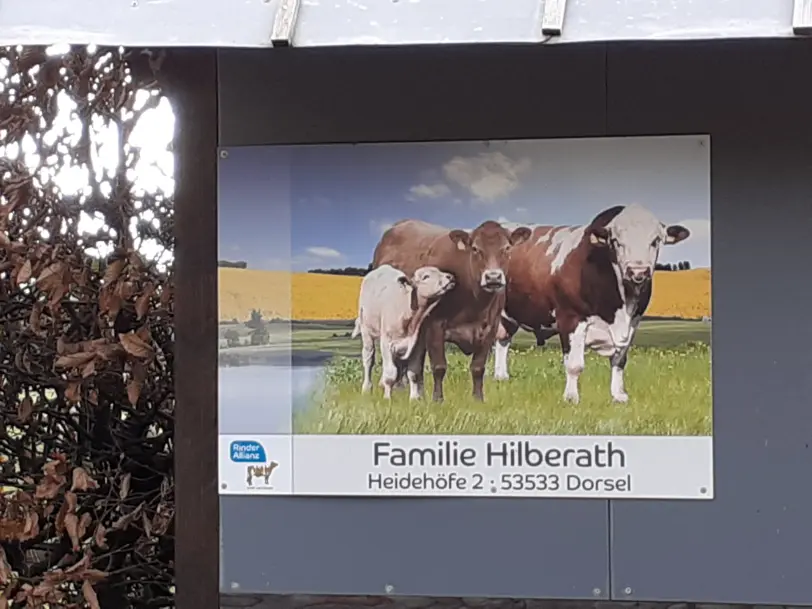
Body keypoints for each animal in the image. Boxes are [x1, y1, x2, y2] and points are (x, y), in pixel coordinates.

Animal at [374, 221, 532, 402]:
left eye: (507, 247)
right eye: (475, 248)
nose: (493, 277)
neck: (474, 302)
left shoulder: (490, 328)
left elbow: (478, 367)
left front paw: (478, 398)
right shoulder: (434, 326)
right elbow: (439, 366)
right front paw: (438, 399)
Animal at [494, 204, 692, 404]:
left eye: (655, 241)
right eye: (616, 241)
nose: (638, 271)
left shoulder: (633, 323)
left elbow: (619, 361)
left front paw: (618, 395)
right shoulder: (571, 317)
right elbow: (574, 364)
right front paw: (571, 397)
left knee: (502, 340)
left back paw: (501, 376)